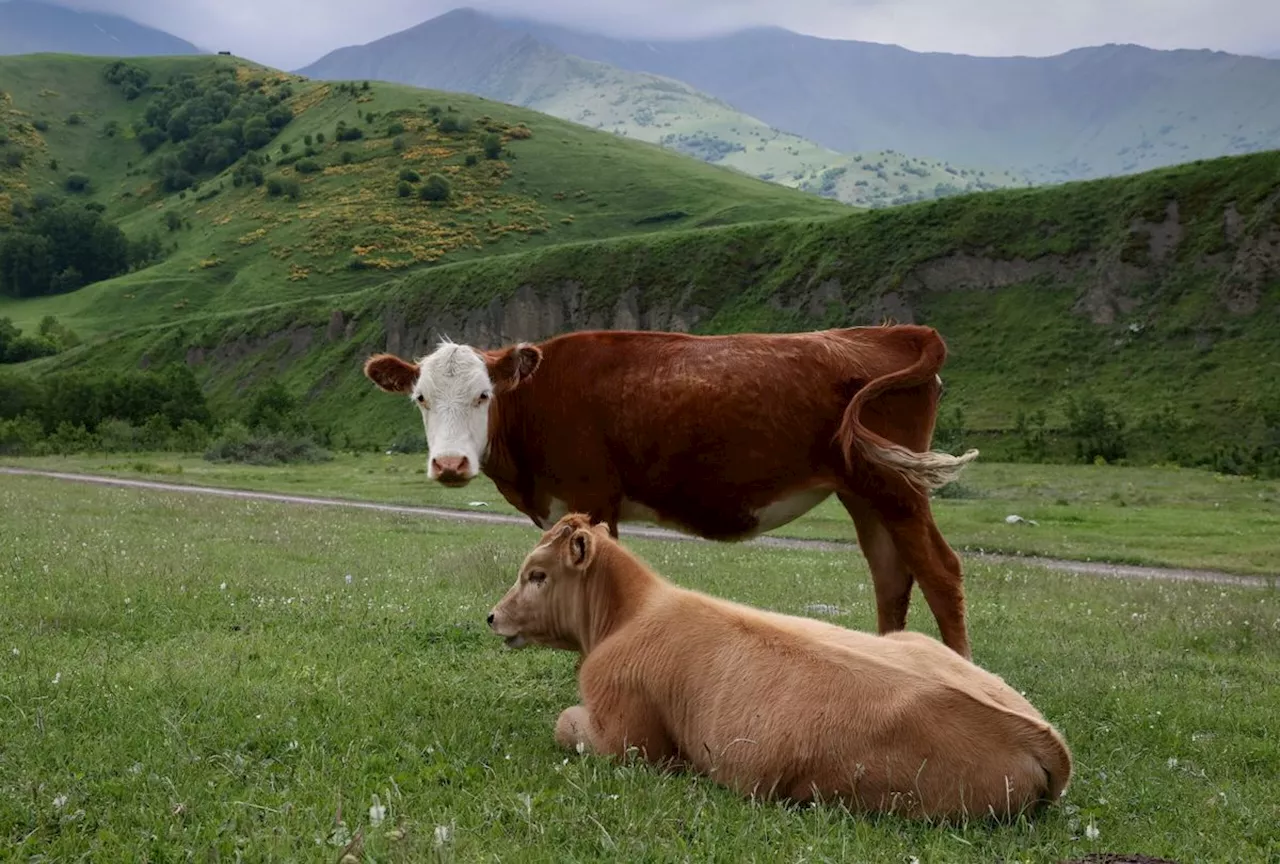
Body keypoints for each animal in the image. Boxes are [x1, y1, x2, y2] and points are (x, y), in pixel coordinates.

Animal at [360, 325, 977, 655]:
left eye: (484, 395)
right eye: (421, 398)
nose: (449, 463)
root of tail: (894, 331)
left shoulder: (592, 498)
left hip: (897, 488)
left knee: (940, 571)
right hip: (865, 491)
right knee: (892, 575)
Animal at [488, 514, 1070, 824]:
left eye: (537, 574)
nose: (491, 615)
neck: (626, 614)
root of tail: (1038, 733)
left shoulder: (627, 740)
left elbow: (564, 721)